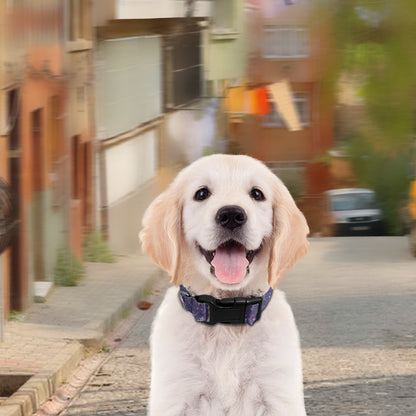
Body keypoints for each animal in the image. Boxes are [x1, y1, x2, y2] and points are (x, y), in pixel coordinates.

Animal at [140, 154, 308, 416]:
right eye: (201, 193)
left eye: (257, 194)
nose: (231, 215)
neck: (227, 314)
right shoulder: (176, 394)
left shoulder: (278, 394)